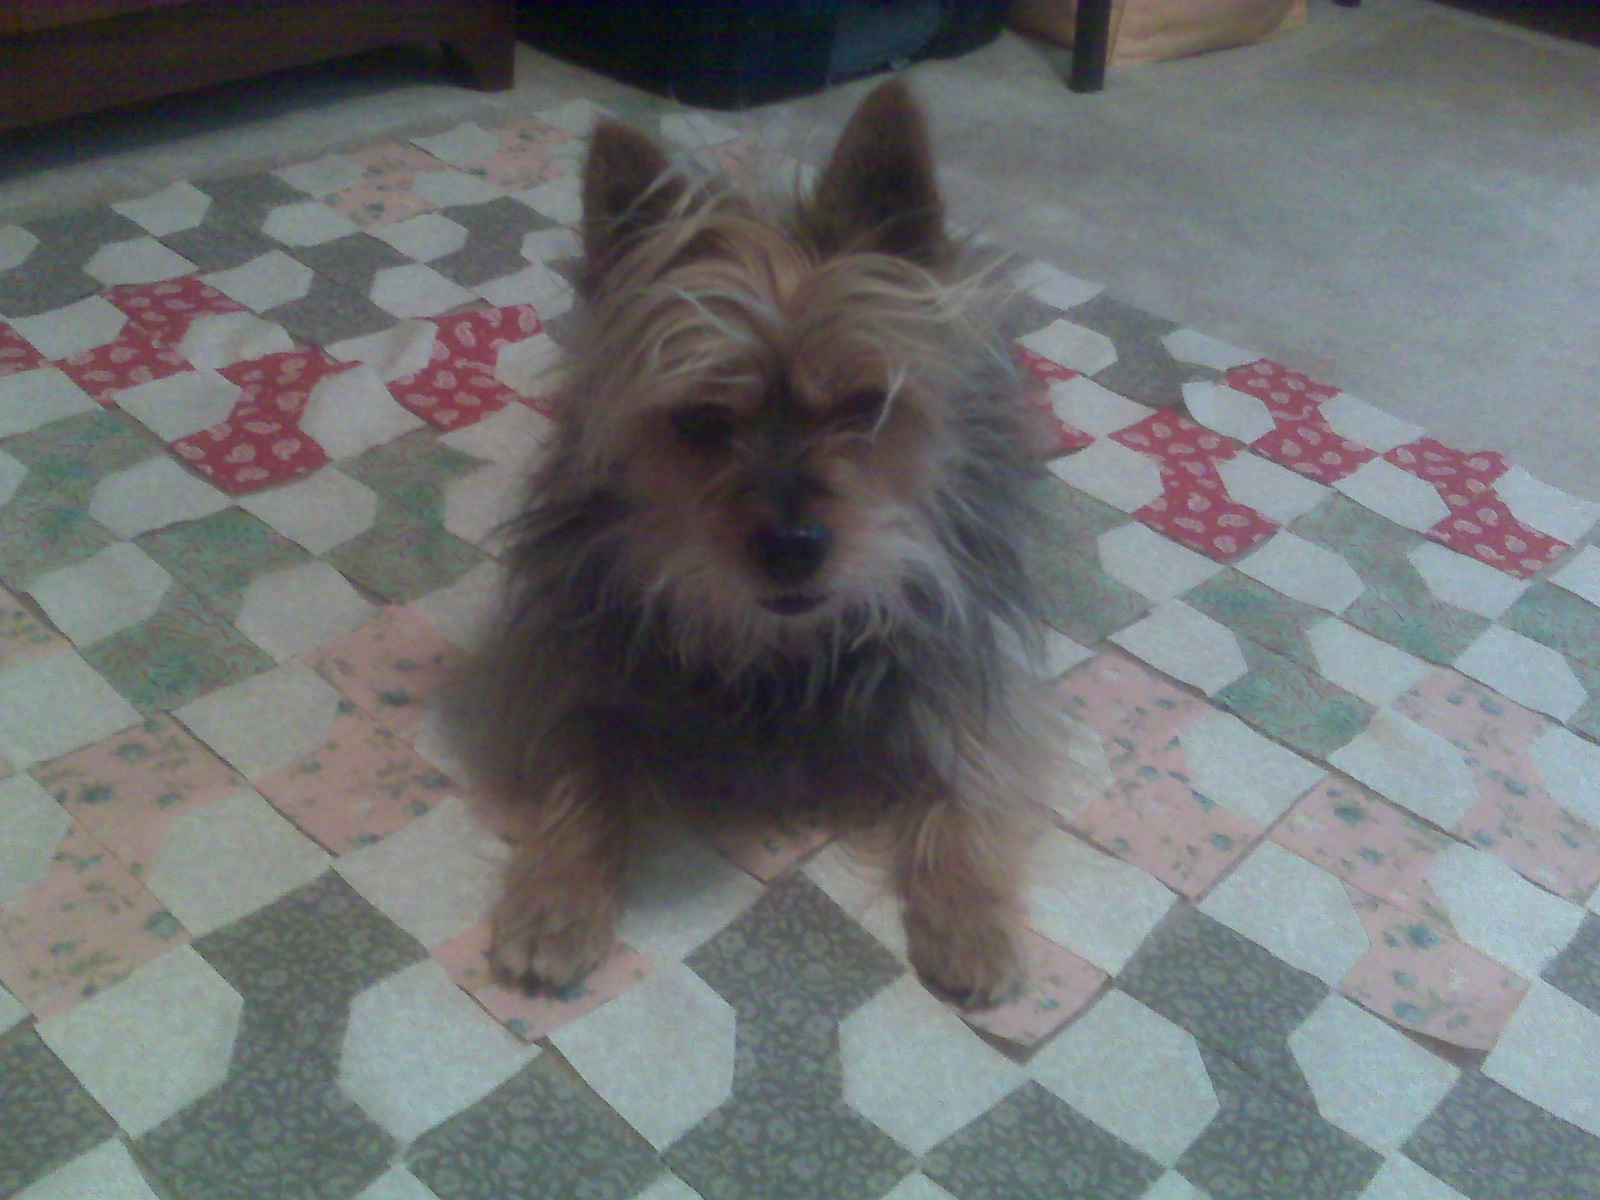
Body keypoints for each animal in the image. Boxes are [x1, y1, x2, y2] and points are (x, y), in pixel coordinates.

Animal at [481, 80, 1071, 1008]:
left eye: (866, 406)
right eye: (700, 421)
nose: (793, 546)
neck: (784, 644)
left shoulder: (962, 675)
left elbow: (969, 782)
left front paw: (973, 921)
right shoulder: (593, 672)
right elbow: (586, 770)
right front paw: (555, 900)